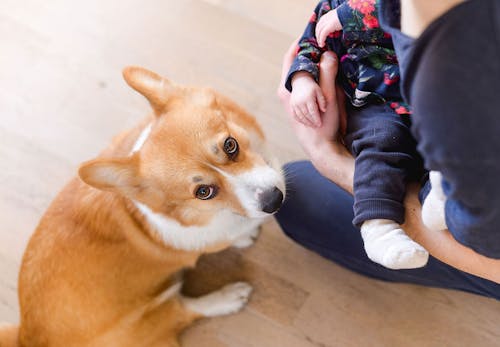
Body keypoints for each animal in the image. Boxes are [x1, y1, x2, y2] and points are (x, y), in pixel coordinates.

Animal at [0, 67, 288, 347]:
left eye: (230, 145)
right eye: (203, 192)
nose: (274, 200)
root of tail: (26, 335)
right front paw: (245, 237)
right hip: (151, 316)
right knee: (184, 311)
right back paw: (228, 298)